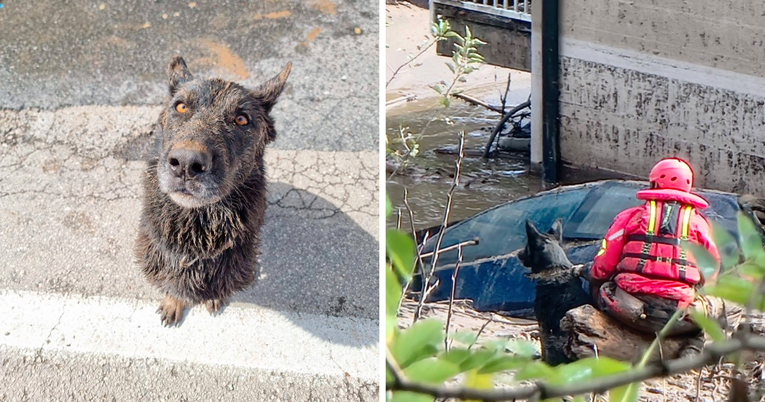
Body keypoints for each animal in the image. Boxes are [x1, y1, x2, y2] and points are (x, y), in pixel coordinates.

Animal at [134, 56, 290, 326]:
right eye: (181, 107)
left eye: (241, 119)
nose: (185, 164)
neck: (195, 231)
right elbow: (174, 286)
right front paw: (173, 302)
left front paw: (214, 298)